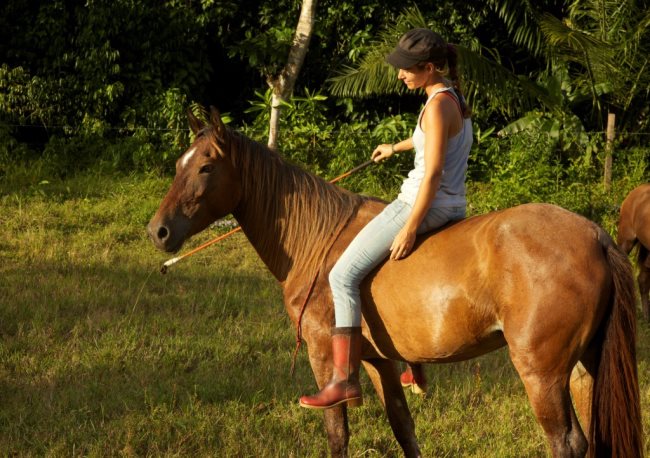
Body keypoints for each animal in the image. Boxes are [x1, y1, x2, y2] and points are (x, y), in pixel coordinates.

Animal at [146, 110, 636, 458]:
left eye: (206, 167)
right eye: (181, 164)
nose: (159, 231)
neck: (316, 239)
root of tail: (593, 234)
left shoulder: (324, 355)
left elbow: (337, 434)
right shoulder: (380, 362)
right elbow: (404, 429)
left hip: (542, 374)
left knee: (567, 443)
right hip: (583, 369)